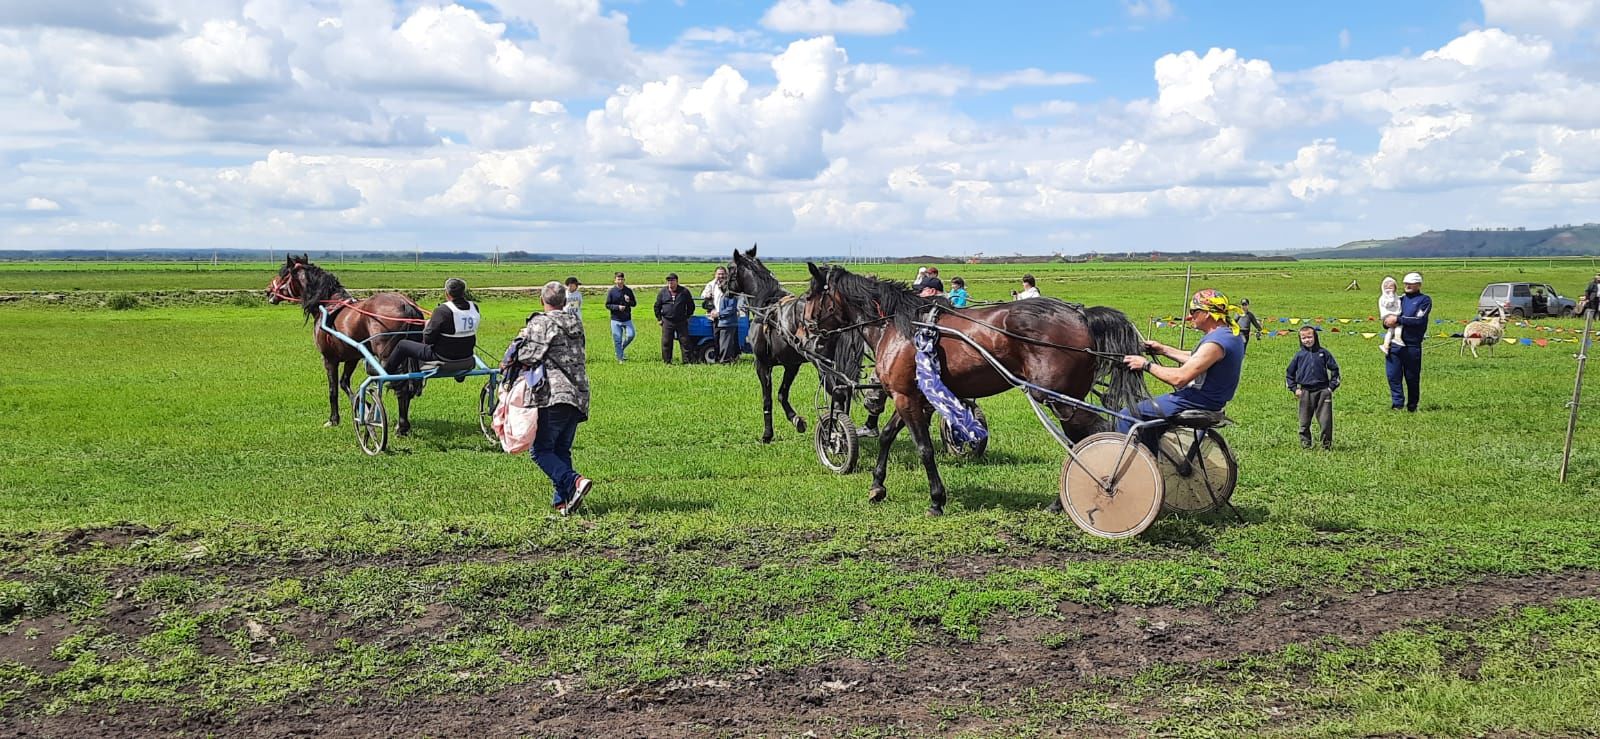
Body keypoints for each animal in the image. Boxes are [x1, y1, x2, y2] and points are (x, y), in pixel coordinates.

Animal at [272, 255, 428, 431]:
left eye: (283, 274)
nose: (269, 291)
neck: (328, 306)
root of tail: (406, 304)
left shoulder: (329, 359)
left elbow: (333, 389)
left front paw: (334, 419)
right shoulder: (352, 358)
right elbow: (344, 383)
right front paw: (363, 407)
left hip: (387, 357)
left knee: (400, 387)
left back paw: (401, 427)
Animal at [806, 263, 1145, 515]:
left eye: (810, 295)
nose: (807, 331)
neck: (899, 327)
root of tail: (1082, 315)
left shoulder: (905, 397)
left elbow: (923, 448)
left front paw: (936, 500)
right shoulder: (918, 397)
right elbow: (888, 436)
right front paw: (877, 486)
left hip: (1060, 401)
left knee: (1089, 439)